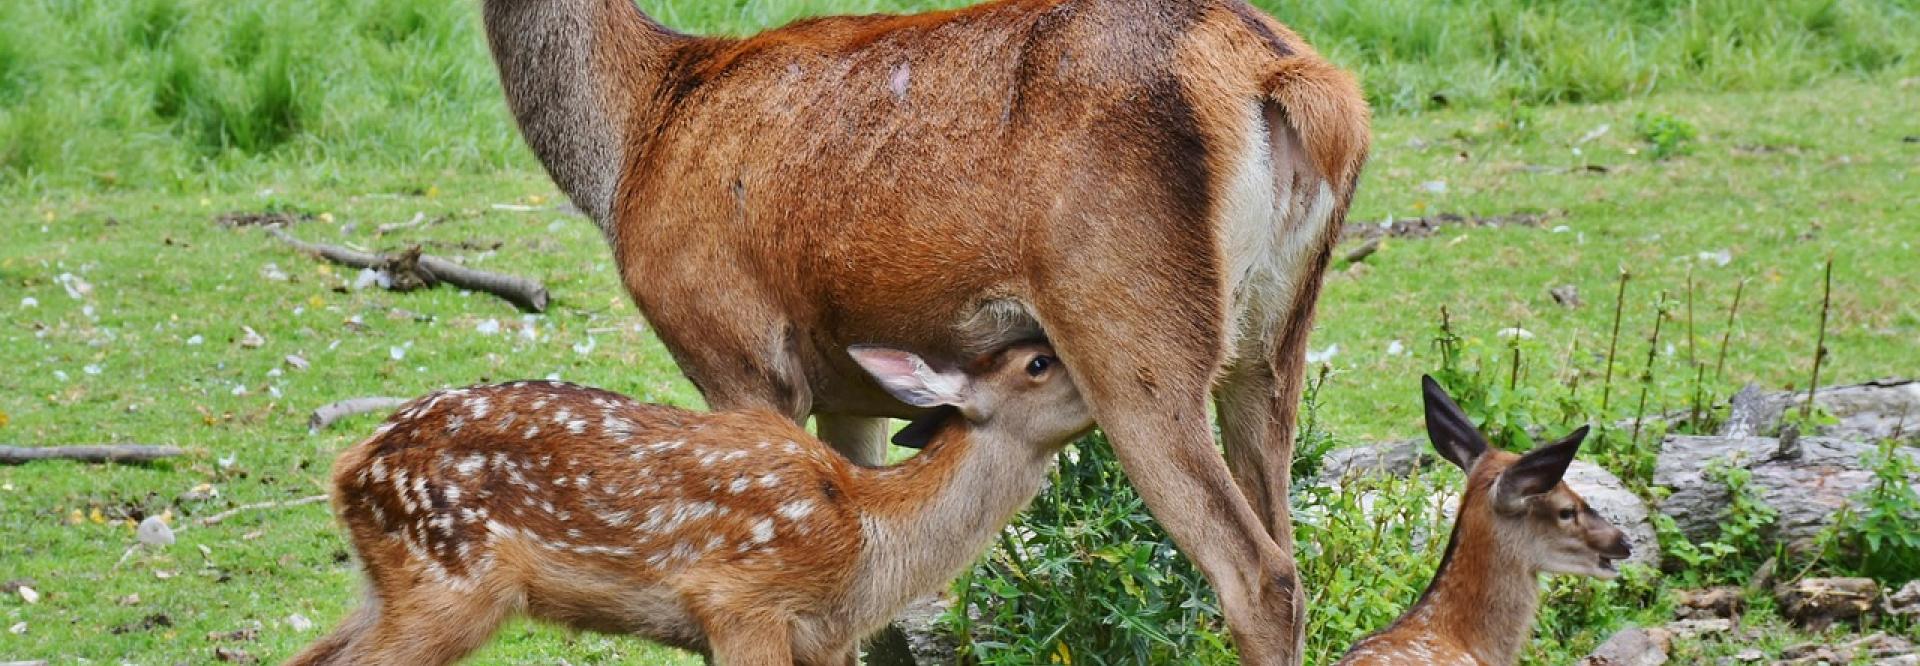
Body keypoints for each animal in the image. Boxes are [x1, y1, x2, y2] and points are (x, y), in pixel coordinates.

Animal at [285, 342, 1094, 665]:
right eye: (1039, 361)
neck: (872, 540)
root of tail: (351, 464)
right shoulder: (741, 600)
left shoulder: (827, 643)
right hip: (450, 581)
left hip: (392, 581)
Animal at [481, 1, 1370, 660]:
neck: (634, 142)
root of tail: (1298, 85)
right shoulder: (848, 392)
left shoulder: (736, 349)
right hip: (1273, 343)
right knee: (1287, 539)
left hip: (1133, 329)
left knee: (1258, 576)